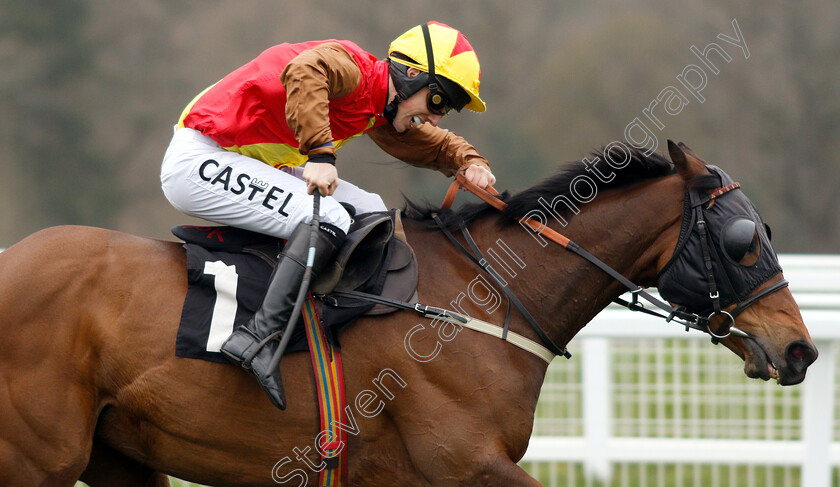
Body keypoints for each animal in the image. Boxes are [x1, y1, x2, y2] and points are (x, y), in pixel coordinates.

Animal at [0, 139, 812, 486]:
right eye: (744, 240)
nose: (800, 348)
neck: (483, 297)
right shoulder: (463, 463)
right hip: (38, 458)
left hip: (118, 458)